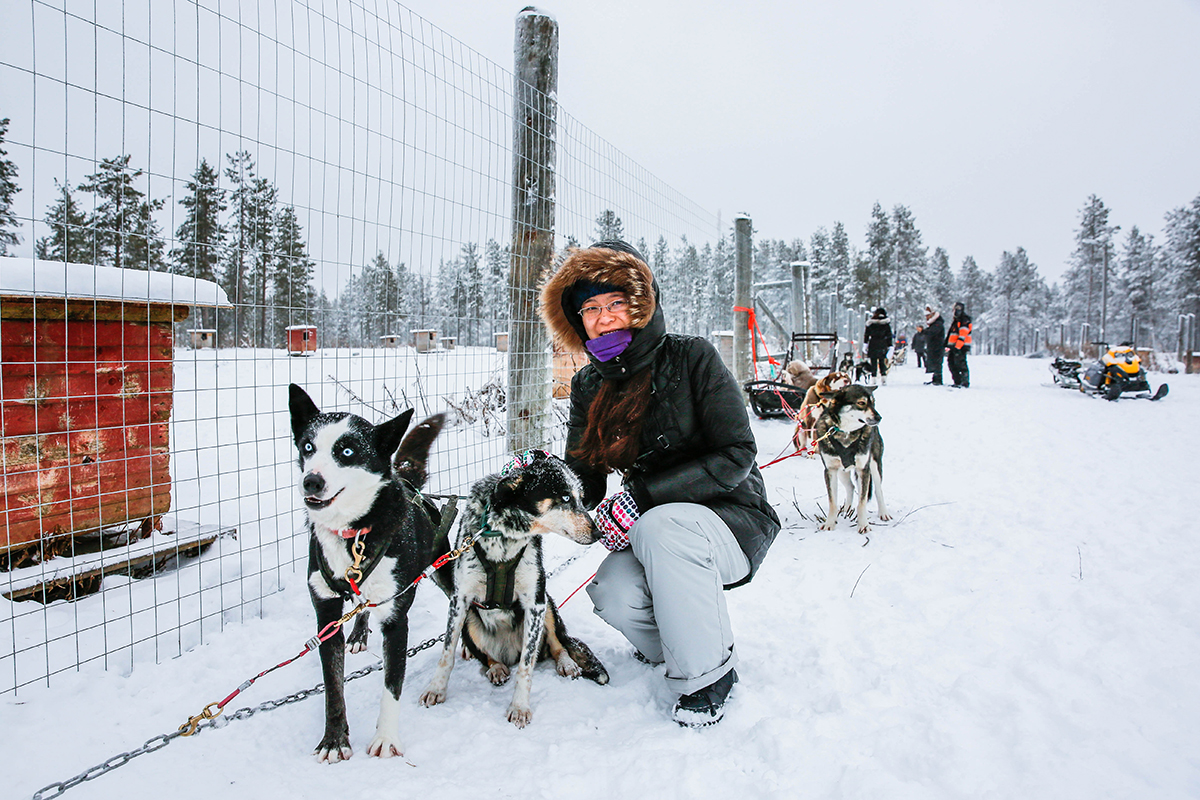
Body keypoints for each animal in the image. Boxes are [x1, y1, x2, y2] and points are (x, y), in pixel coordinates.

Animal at [288, 386, 448, 762]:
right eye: (307, 446)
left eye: (347, 451)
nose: (311, 481)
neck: (355, 533)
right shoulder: (326, 617)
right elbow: (333, 688)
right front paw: (334, 740)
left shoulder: (396, 620)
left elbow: (391, 686)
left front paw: (386, 739)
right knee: (360, 604)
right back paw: (359, 633)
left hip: (442, 567)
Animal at [422, 453, 609, 729]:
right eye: (565, 497)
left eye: (580, 497)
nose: (598, 532)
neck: (505, 537)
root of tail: (508, 652)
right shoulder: (460, 599)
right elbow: (447, 654)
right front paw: (436, 689)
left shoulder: (535, 602)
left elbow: (526, 666)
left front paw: (519, 707)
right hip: (470, 619)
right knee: (487, 656)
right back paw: (496, 667)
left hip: (548, 605)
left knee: (556, 645)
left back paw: (566, 663)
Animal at [816, 383, 892, 534]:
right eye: (861, 403)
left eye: (873, 403)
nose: (879, 417)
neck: (846, 432)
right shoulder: (830, 470)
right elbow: (832, 502)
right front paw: (830, 523)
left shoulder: (863, 469)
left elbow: (862, 503)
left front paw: (863, 525)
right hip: (842, 471)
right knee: (850, 486)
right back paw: (846, 509)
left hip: (874, 466)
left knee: (878, 490)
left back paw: (883, 512)